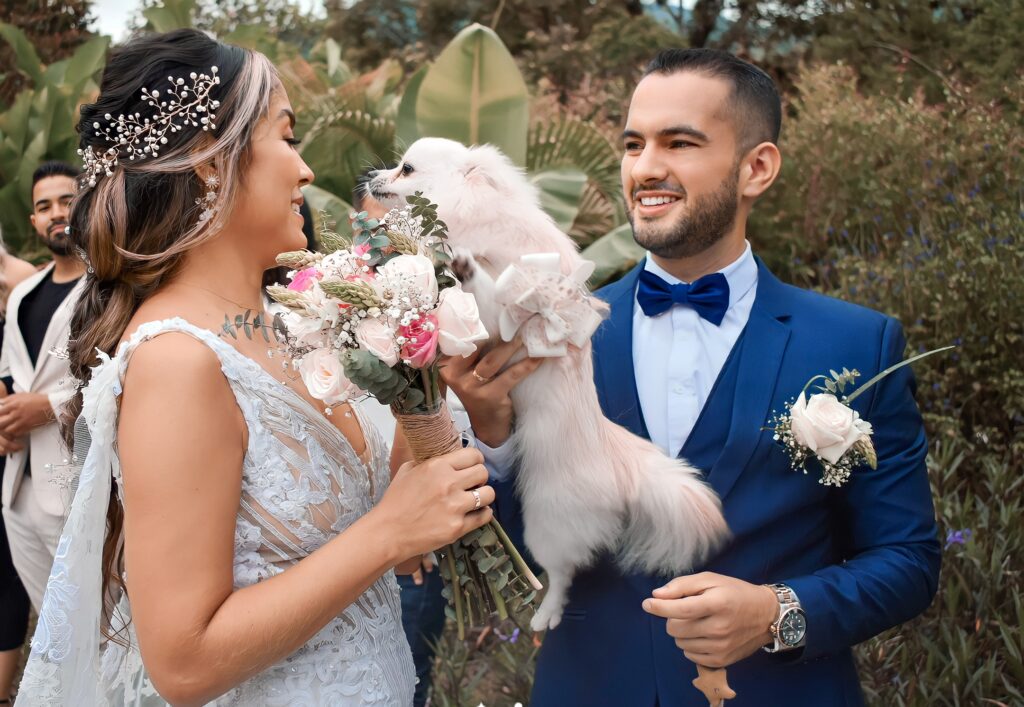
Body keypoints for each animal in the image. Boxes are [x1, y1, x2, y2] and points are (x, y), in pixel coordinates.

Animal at [368, 137, 729, 627]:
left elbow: (484, 293)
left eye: (405, 169)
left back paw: (546, 615)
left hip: (547, 522)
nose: (373, 177)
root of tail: (617, 465)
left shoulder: (513, 315)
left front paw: (464, 268)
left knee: (562, 574)